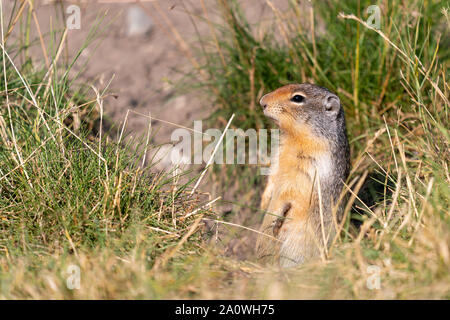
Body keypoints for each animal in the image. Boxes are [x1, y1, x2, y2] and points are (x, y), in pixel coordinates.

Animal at [255, 83, 350, 268]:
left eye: (297, 98)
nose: (262, 102)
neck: (294, 138)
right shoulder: (278, 158)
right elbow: (272, 180)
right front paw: (264, 203)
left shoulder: (311, 169)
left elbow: (292, 195)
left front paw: (279, 218)